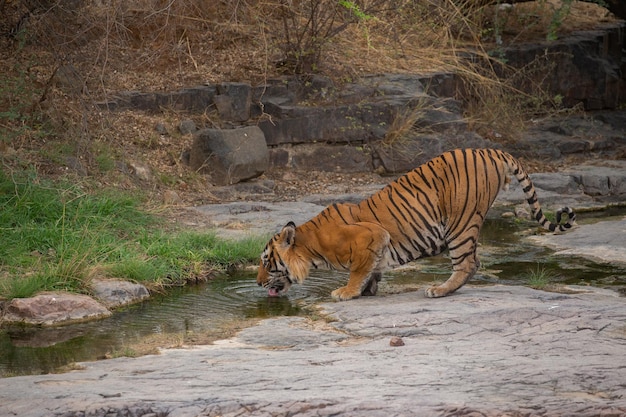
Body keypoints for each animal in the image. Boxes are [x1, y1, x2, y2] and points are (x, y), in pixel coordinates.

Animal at [255, 148, 576, 300]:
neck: (311, 247)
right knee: (474, 262)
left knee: (467, 263)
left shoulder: (372, 235)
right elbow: (371, 270)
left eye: (267, 262)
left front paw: (346, 291)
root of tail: (491, 151)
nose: (257, 283)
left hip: (460, 222)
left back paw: (439, 290)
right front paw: (368, 289)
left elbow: (358, 271)